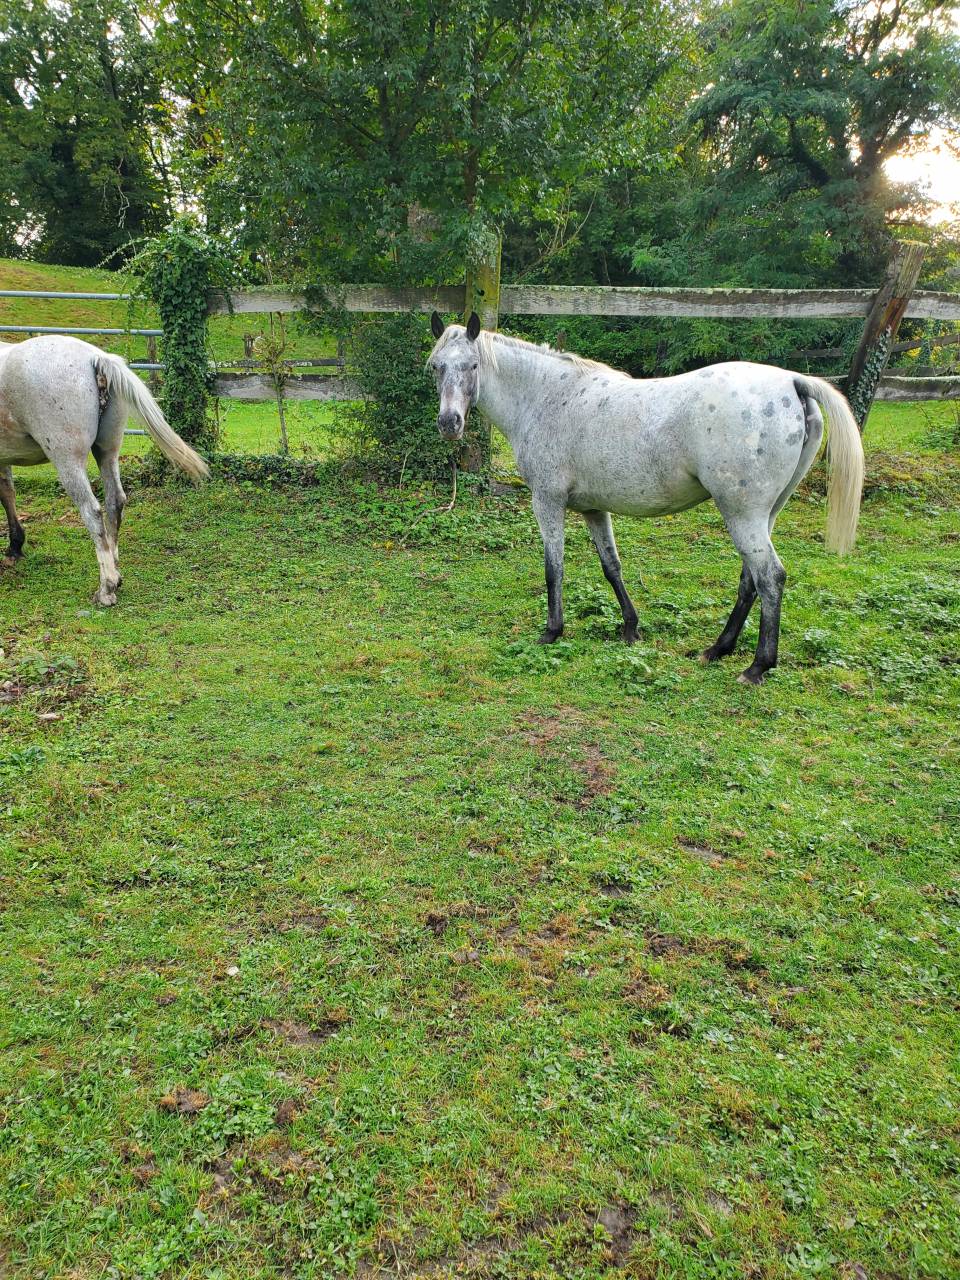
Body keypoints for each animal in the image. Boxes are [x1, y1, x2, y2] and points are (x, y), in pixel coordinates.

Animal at [0, 335, 208, 606]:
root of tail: (95, 357)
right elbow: (8, 493)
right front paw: (15, 547)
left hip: (68, 461)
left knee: (92, 511)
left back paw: (106, 588)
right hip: (108, 453)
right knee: (115, 502)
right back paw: (115, 571)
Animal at [428, 312, 864, 685]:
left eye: (472, 366)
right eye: (437, 367)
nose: (450, 423)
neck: (548, 398)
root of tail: (792, 381)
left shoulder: (547, 501)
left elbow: (554, 569)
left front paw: (552, 631)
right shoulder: (593, 509)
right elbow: (611, 567)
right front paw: (630, 628)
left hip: (743, 515)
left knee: (769, 577)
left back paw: (757, 666)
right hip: (764, 514)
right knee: (750, 580)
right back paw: (718, 649)